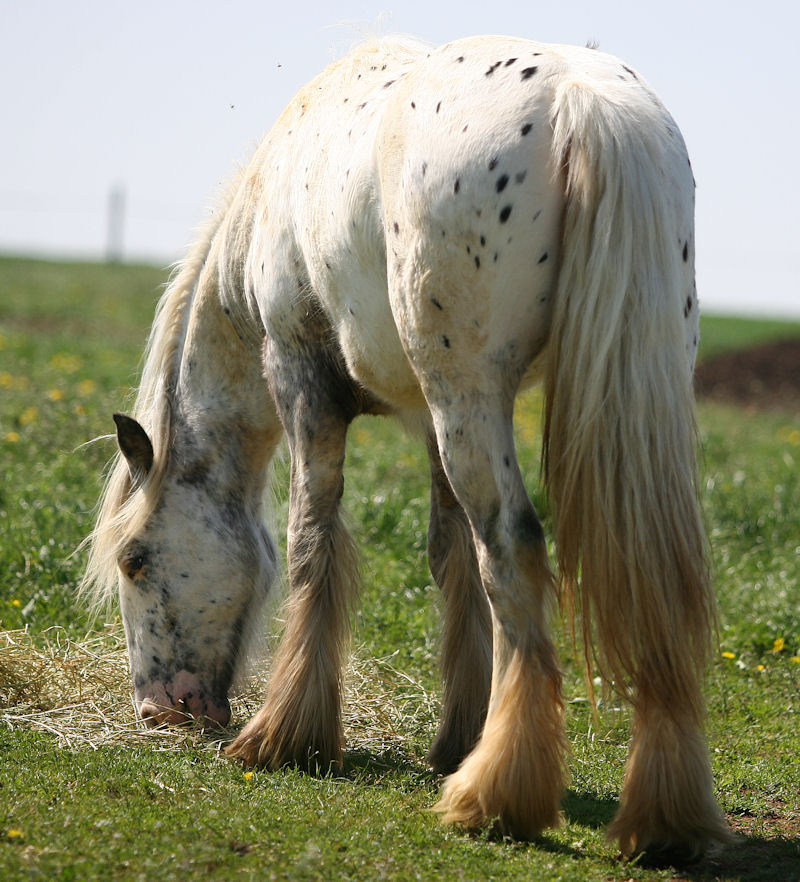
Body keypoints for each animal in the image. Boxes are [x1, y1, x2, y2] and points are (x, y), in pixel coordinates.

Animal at [84, 36, 736, 860]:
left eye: (135, 561)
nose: (157, 710)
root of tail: (583, 99)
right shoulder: (429, 420)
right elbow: (449, 557)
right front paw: (456, 737)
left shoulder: (305, 383)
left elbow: (312, 543)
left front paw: (288, 737)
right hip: (614, 389)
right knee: (655, 575)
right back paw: (662, 814)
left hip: (471, 396)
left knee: (512, 550)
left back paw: (498, 799)